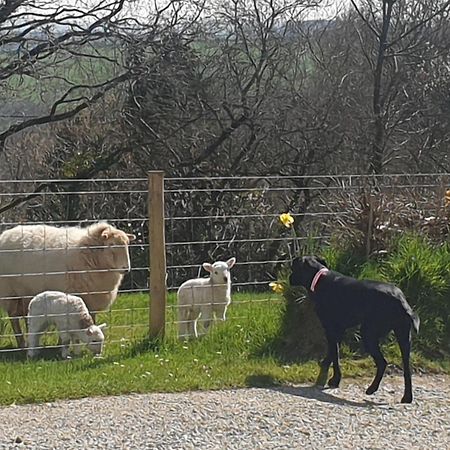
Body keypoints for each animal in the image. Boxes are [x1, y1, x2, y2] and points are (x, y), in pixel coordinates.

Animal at [290, 255, 420, 402]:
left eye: (293, 267)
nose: (289, 277)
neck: (319, 277)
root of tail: (400, 300)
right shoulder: (339, 330)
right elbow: (333, 351)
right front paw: (325, 366)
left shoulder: (331, 328)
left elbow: (335, 354)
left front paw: (335, 380)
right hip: (404, 337)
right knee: (407, 368)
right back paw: (407, 397)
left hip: (368, 333)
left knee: (382, 363)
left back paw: (372, 388)